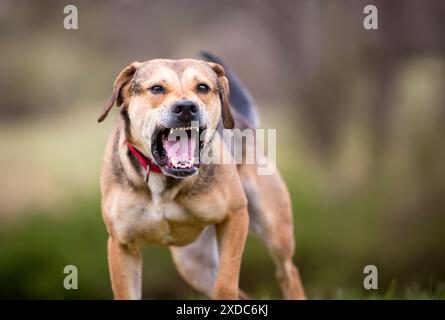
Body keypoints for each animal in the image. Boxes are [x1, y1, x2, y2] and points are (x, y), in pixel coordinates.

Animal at [97, 52, 306, 300]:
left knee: (287, 271)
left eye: (203, 87)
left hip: (274, 228)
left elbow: (225, 284)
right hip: (193, 262)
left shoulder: (235, 216)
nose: (186, 107)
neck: (163, 180)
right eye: (157, 88)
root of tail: (246, 124)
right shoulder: (121, 244)